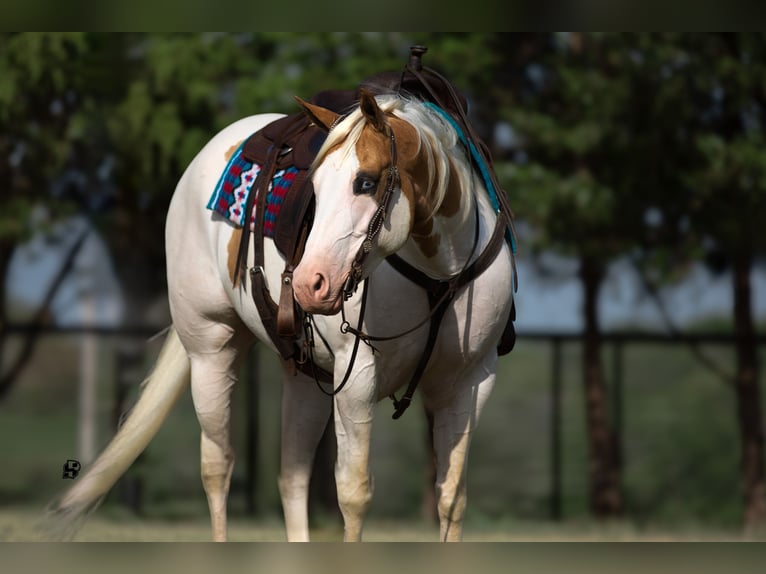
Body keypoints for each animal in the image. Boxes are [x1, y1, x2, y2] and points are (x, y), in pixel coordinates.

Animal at [46, 86, 516, 544]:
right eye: (316, 188)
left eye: (365, 182)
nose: (310, 283)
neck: (440, 275)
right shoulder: (358, 380)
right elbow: (354, 494)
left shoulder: (469, 384)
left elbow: (451, 498)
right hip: (211, 350)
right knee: (217, 468)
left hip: (308, 378)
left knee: (292, 478)